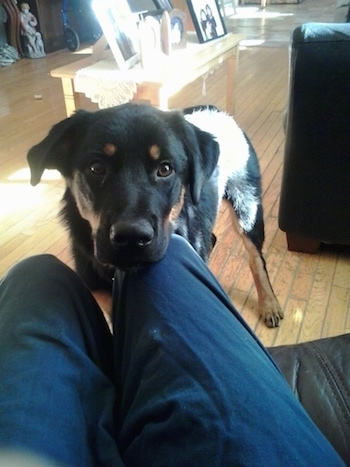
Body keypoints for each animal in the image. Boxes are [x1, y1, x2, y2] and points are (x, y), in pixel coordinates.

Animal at [28, 104, 284, 328]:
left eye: (165, 169)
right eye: (96, 167)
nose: (132, 237)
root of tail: (219, 110)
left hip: (247, 207)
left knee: (256, 258)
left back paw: (269, 304)